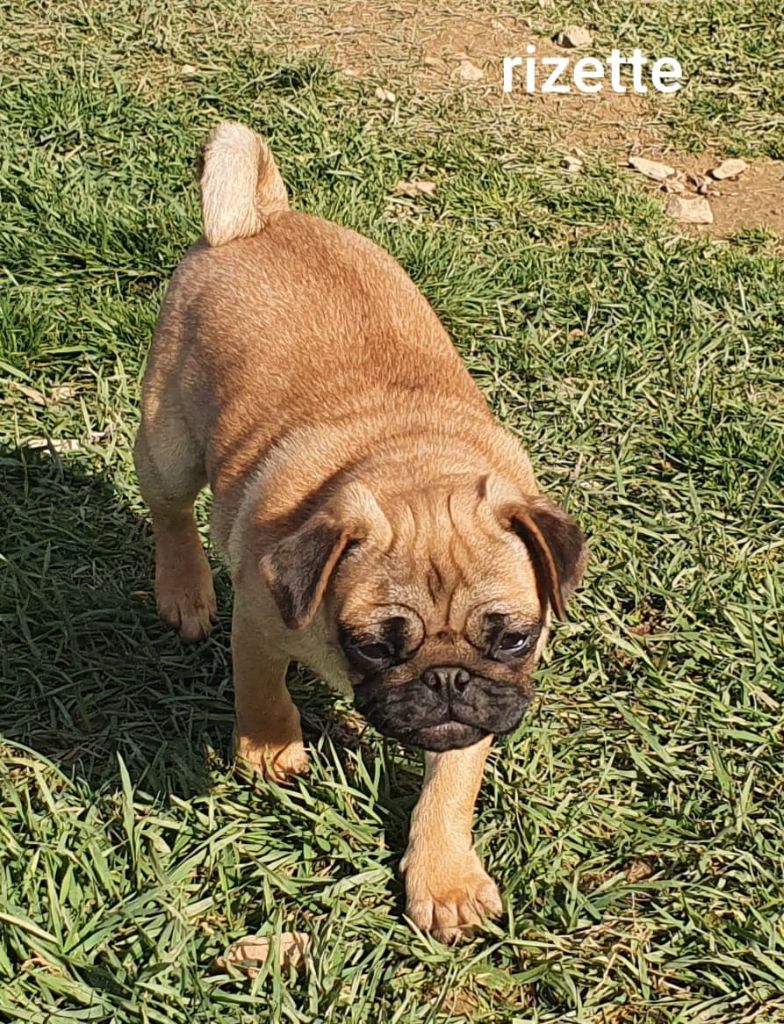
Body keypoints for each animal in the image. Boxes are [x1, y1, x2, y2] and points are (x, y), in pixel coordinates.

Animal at [135, 121, 589, 942]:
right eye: (375, 646)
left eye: (514, 639)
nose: (446, 680)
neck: (407, 462)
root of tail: (262, 220)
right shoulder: (261, 619)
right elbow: (259, 689)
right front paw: (270, 751)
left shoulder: (471, 715)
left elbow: (450, 785)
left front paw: (443, 878)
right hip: (170, 443)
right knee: (171, 510)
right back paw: (183, 590)